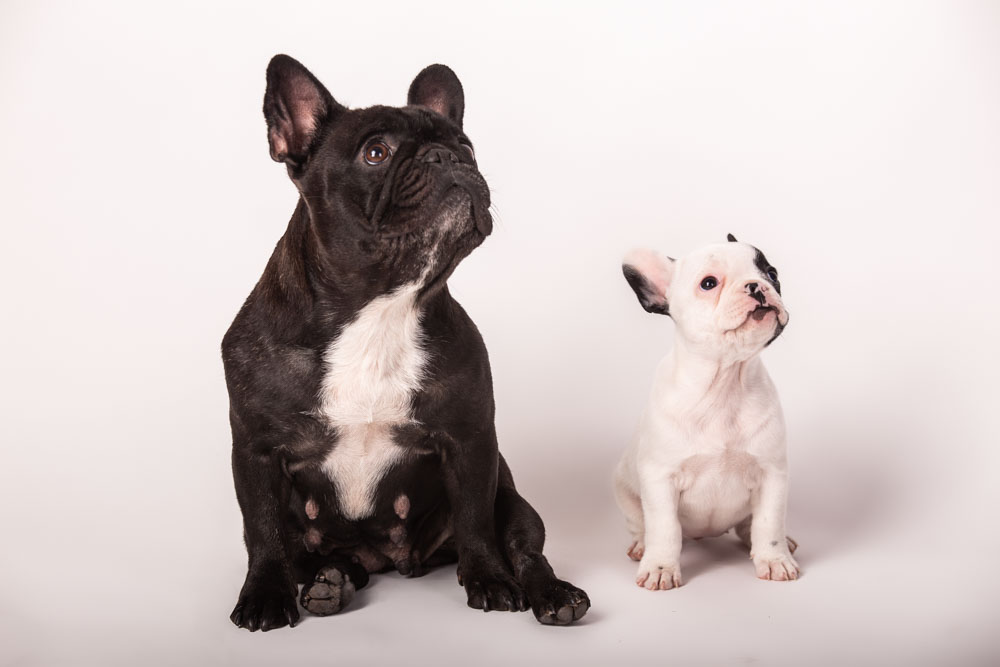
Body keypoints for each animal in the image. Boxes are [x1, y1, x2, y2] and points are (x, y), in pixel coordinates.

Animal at [612, 234, 800, 588]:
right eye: (709, 283)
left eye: (771, 273)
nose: (756, 286)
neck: (724, 383)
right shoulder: (660, 479)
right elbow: (665, 529)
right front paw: (660, 567)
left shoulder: (772, 474)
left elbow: (768, 523)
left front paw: (774, 559)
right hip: (624, 491)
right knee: (642, 525)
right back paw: (641, 546)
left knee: (750, 526)